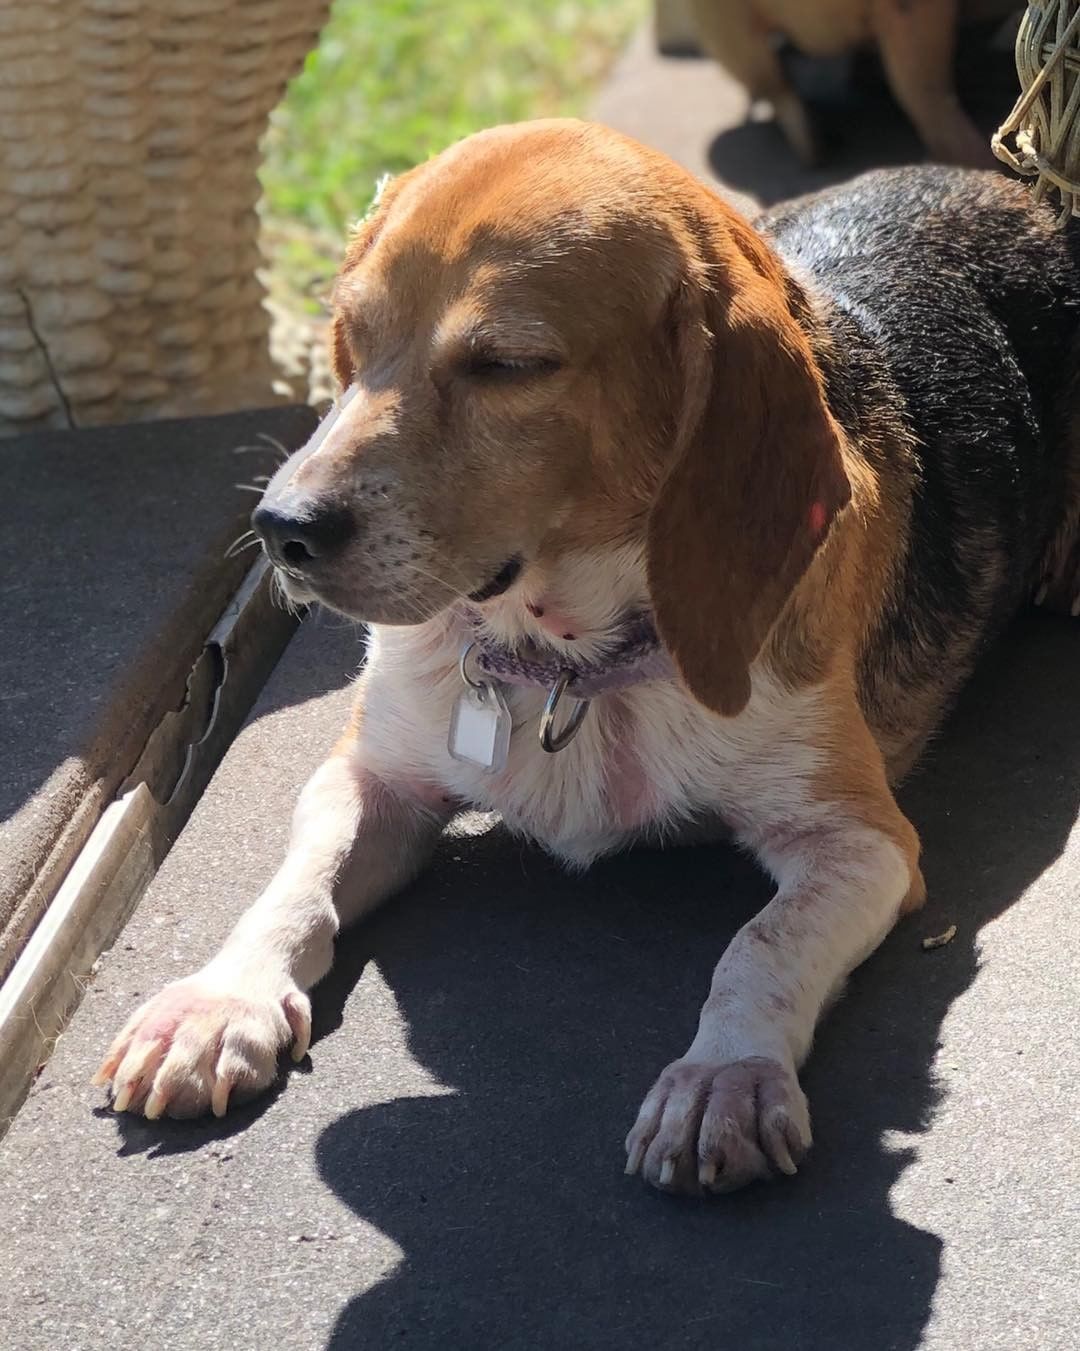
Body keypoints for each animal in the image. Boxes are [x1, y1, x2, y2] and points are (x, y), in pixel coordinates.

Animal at [95, 118, 1080, 1194]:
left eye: (508, 364)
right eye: (349, 340)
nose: (282, 529)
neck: (567, 660)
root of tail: (1014, 187)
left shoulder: (861, 844)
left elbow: (759, 943)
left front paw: (724, 1076)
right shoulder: (367, 776)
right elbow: (294, 888)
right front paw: (218, 1001)